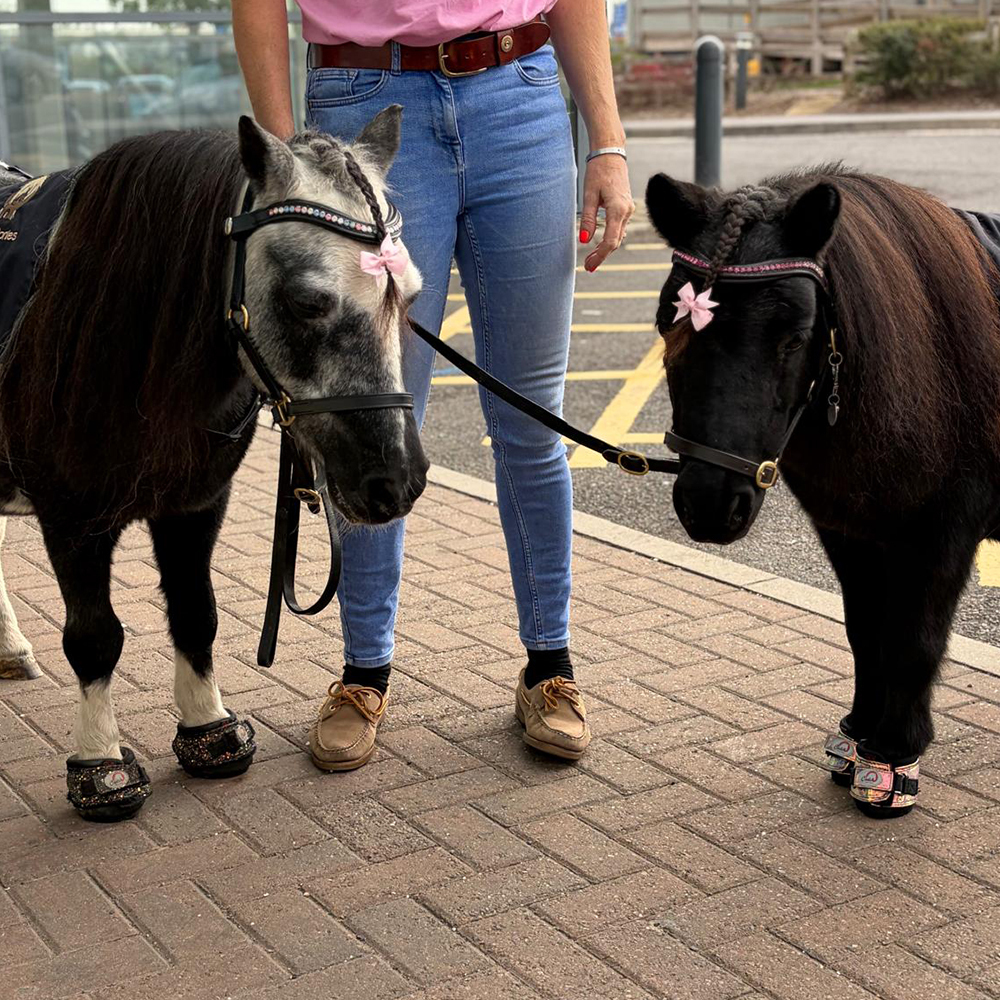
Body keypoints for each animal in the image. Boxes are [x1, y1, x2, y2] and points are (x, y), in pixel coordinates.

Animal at [0, 107, 428, 820]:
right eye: (307, 302)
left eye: (412, 298)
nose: (395, 482)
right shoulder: (72, 518)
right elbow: (94, 637)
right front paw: (101, 767)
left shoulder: (195, 503)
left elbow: (196, 611)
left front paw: (208, 730)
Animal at [646, 165, 1000, 817]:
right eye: (668, 324)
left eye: (795, 336)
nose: (709, 504)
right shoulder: (849, 528)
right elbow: (866, 627)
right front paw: (858, 736)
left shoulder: (942, 532)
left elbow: (913, 637)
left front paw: (893, 758)